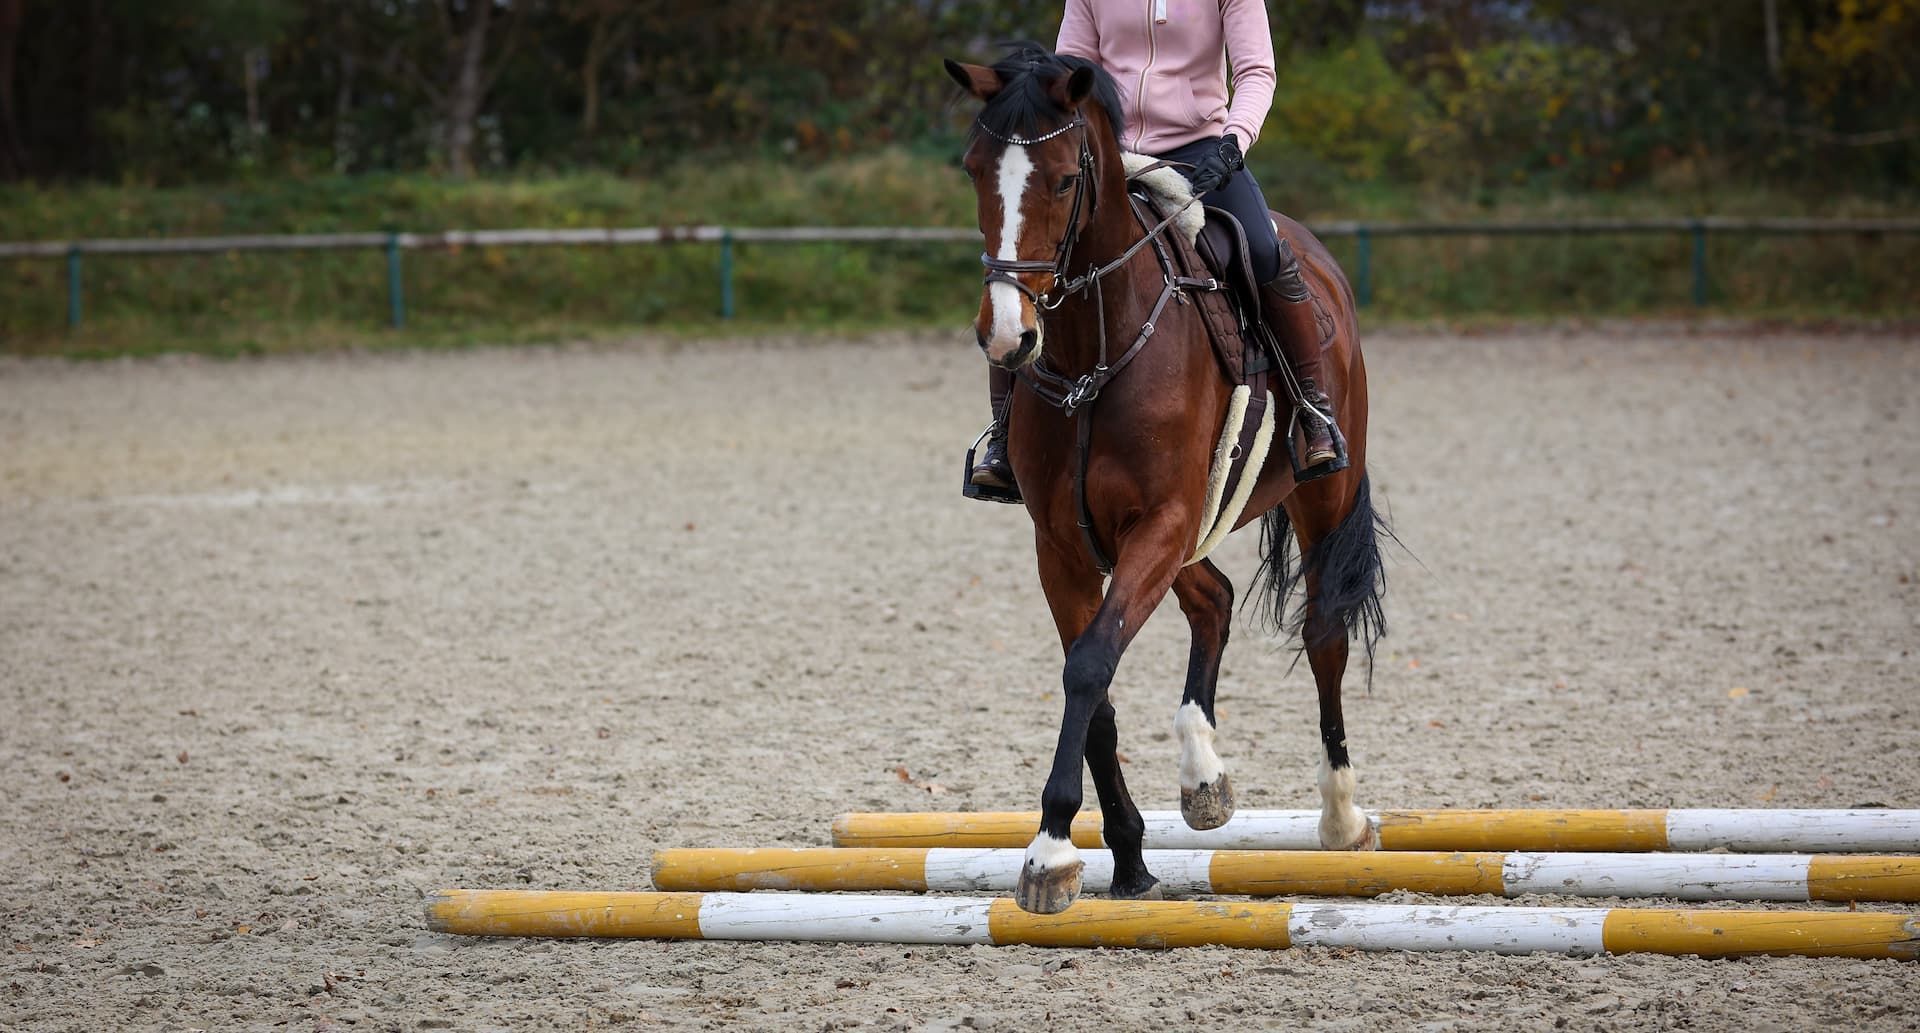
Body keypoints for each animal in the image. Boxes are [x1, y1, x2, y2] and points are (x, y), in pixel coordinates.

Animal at [945, 47, 1388, 914]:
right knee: (1212, 599)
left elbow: (1089, 665)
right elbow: (1095, 686)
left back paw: (1342, 816)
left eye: (1061, 180)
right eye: (976, 169)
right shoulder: (1066, 545)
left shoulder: (1160, 520)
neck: (1096, 347)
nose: (1008, 336)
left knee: (1323, 634)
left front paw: (1051, 849)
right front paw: (1123, 855)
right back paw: (1202, 774)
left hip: (1316, 496)